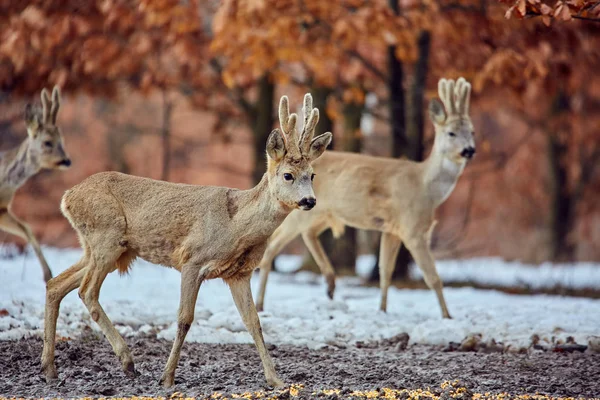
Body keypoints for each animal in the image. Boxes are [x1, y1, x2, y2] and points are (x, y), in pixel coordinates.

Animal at [0, 86, 71, 282]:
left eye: (62, 140)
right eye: (47, 142)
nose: (66, 161)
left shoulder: (2, 209)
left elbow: (27, 229)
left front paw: (48, 275)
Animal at [42, 93, 332, 388]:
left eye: (312, 174)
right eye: (288, 175)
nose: (309, 201)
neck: (236, 227)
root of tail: (67, 197)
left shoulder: (239, 273)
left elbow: (253, 322)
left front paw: (276, 380)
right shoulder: (192, 260)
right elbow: (184, 319)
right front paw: (167, 377)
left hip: (105, 248)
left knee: (56, 285)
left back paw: (49, 368)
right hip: (106, 238)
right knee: (87, 291)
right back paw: (127, 361)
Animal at [255, 76, 476, 318]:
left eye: (472, 131)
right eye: (451, 133)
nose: (469, 150)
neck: (426, 187)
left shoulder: (392, 229)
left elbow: (385, 270)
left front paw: (382, 309)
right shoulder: (412, 228)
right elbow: (434, 278)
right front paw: (448, 316)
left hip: (321, 214)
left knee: (308, 234)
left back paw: (330, 284)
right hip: (299, 211)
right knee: (273, 246)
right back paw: (261, 304)